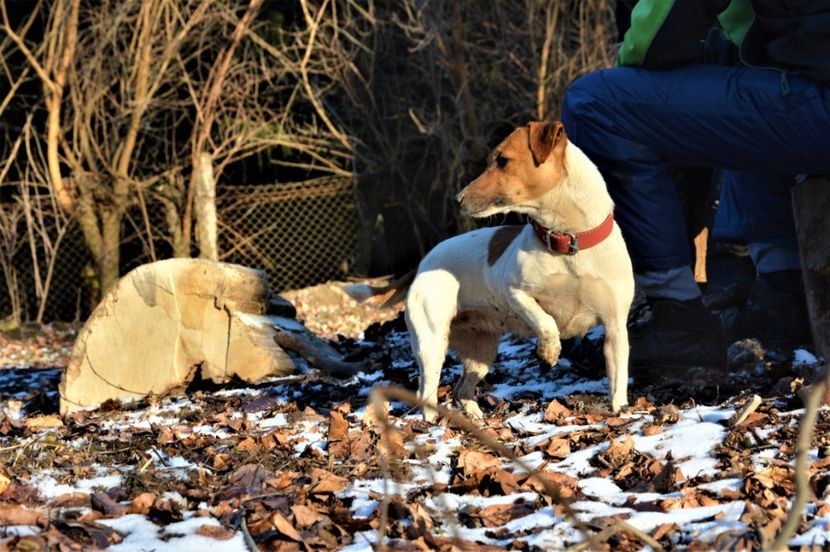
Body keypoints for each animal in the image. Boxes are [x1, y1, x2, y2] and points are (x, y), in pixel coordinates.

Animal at [348, 121, 632, 418]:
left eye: (502, 160)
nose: (457, 199)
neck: (567, 242)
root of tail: (422, 262)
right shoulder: (515, 292)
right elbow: (545, 321)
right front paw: (549, 350)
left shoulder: (615, 329)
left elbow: (618, 379)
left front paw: (621, 410)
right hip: (431, 343)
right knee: (427, 393)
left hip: (480, 351)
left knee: (462, 390)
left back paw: (475, 417)